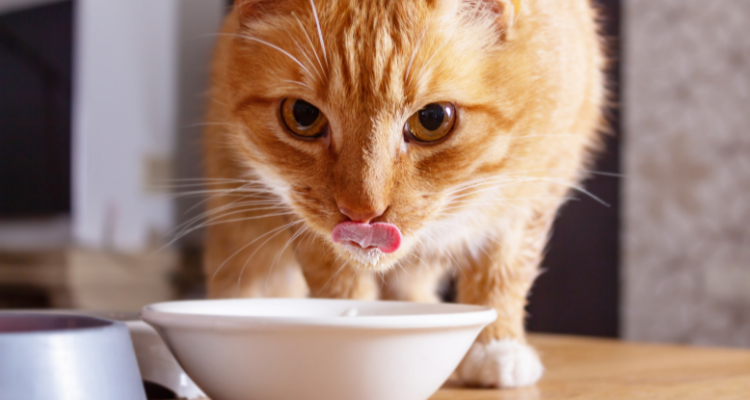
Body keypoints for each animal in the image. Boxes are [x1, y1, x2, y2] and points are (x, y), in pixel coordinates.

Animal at [203, 0, 608, 388]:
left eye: (433, 119)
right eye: (303, 115)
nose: (362, 212)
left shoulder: (533, 193)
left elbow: (503, 273)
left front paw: (495, 346)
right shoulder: (298, 217)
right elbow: (340, 283)